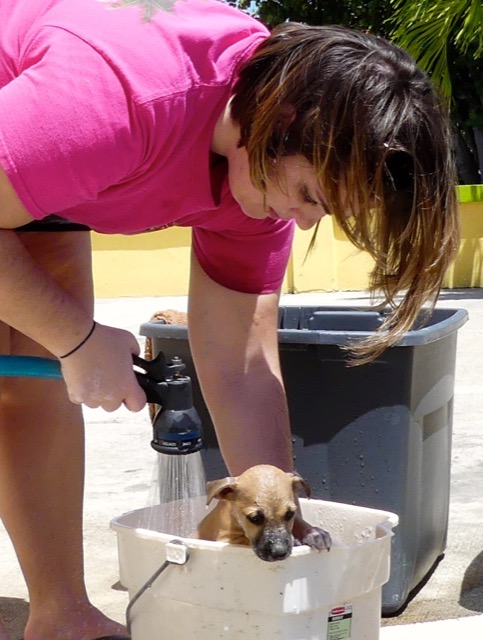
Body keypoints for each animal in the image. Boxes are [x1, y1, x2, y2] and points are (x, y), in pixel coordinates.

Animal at [197, 464, 328, 560]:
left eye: (290, 514)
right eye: (255, 518)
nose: (279, 553)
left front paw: (312, 534)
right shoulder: (225, 539)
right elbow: (245, 541)